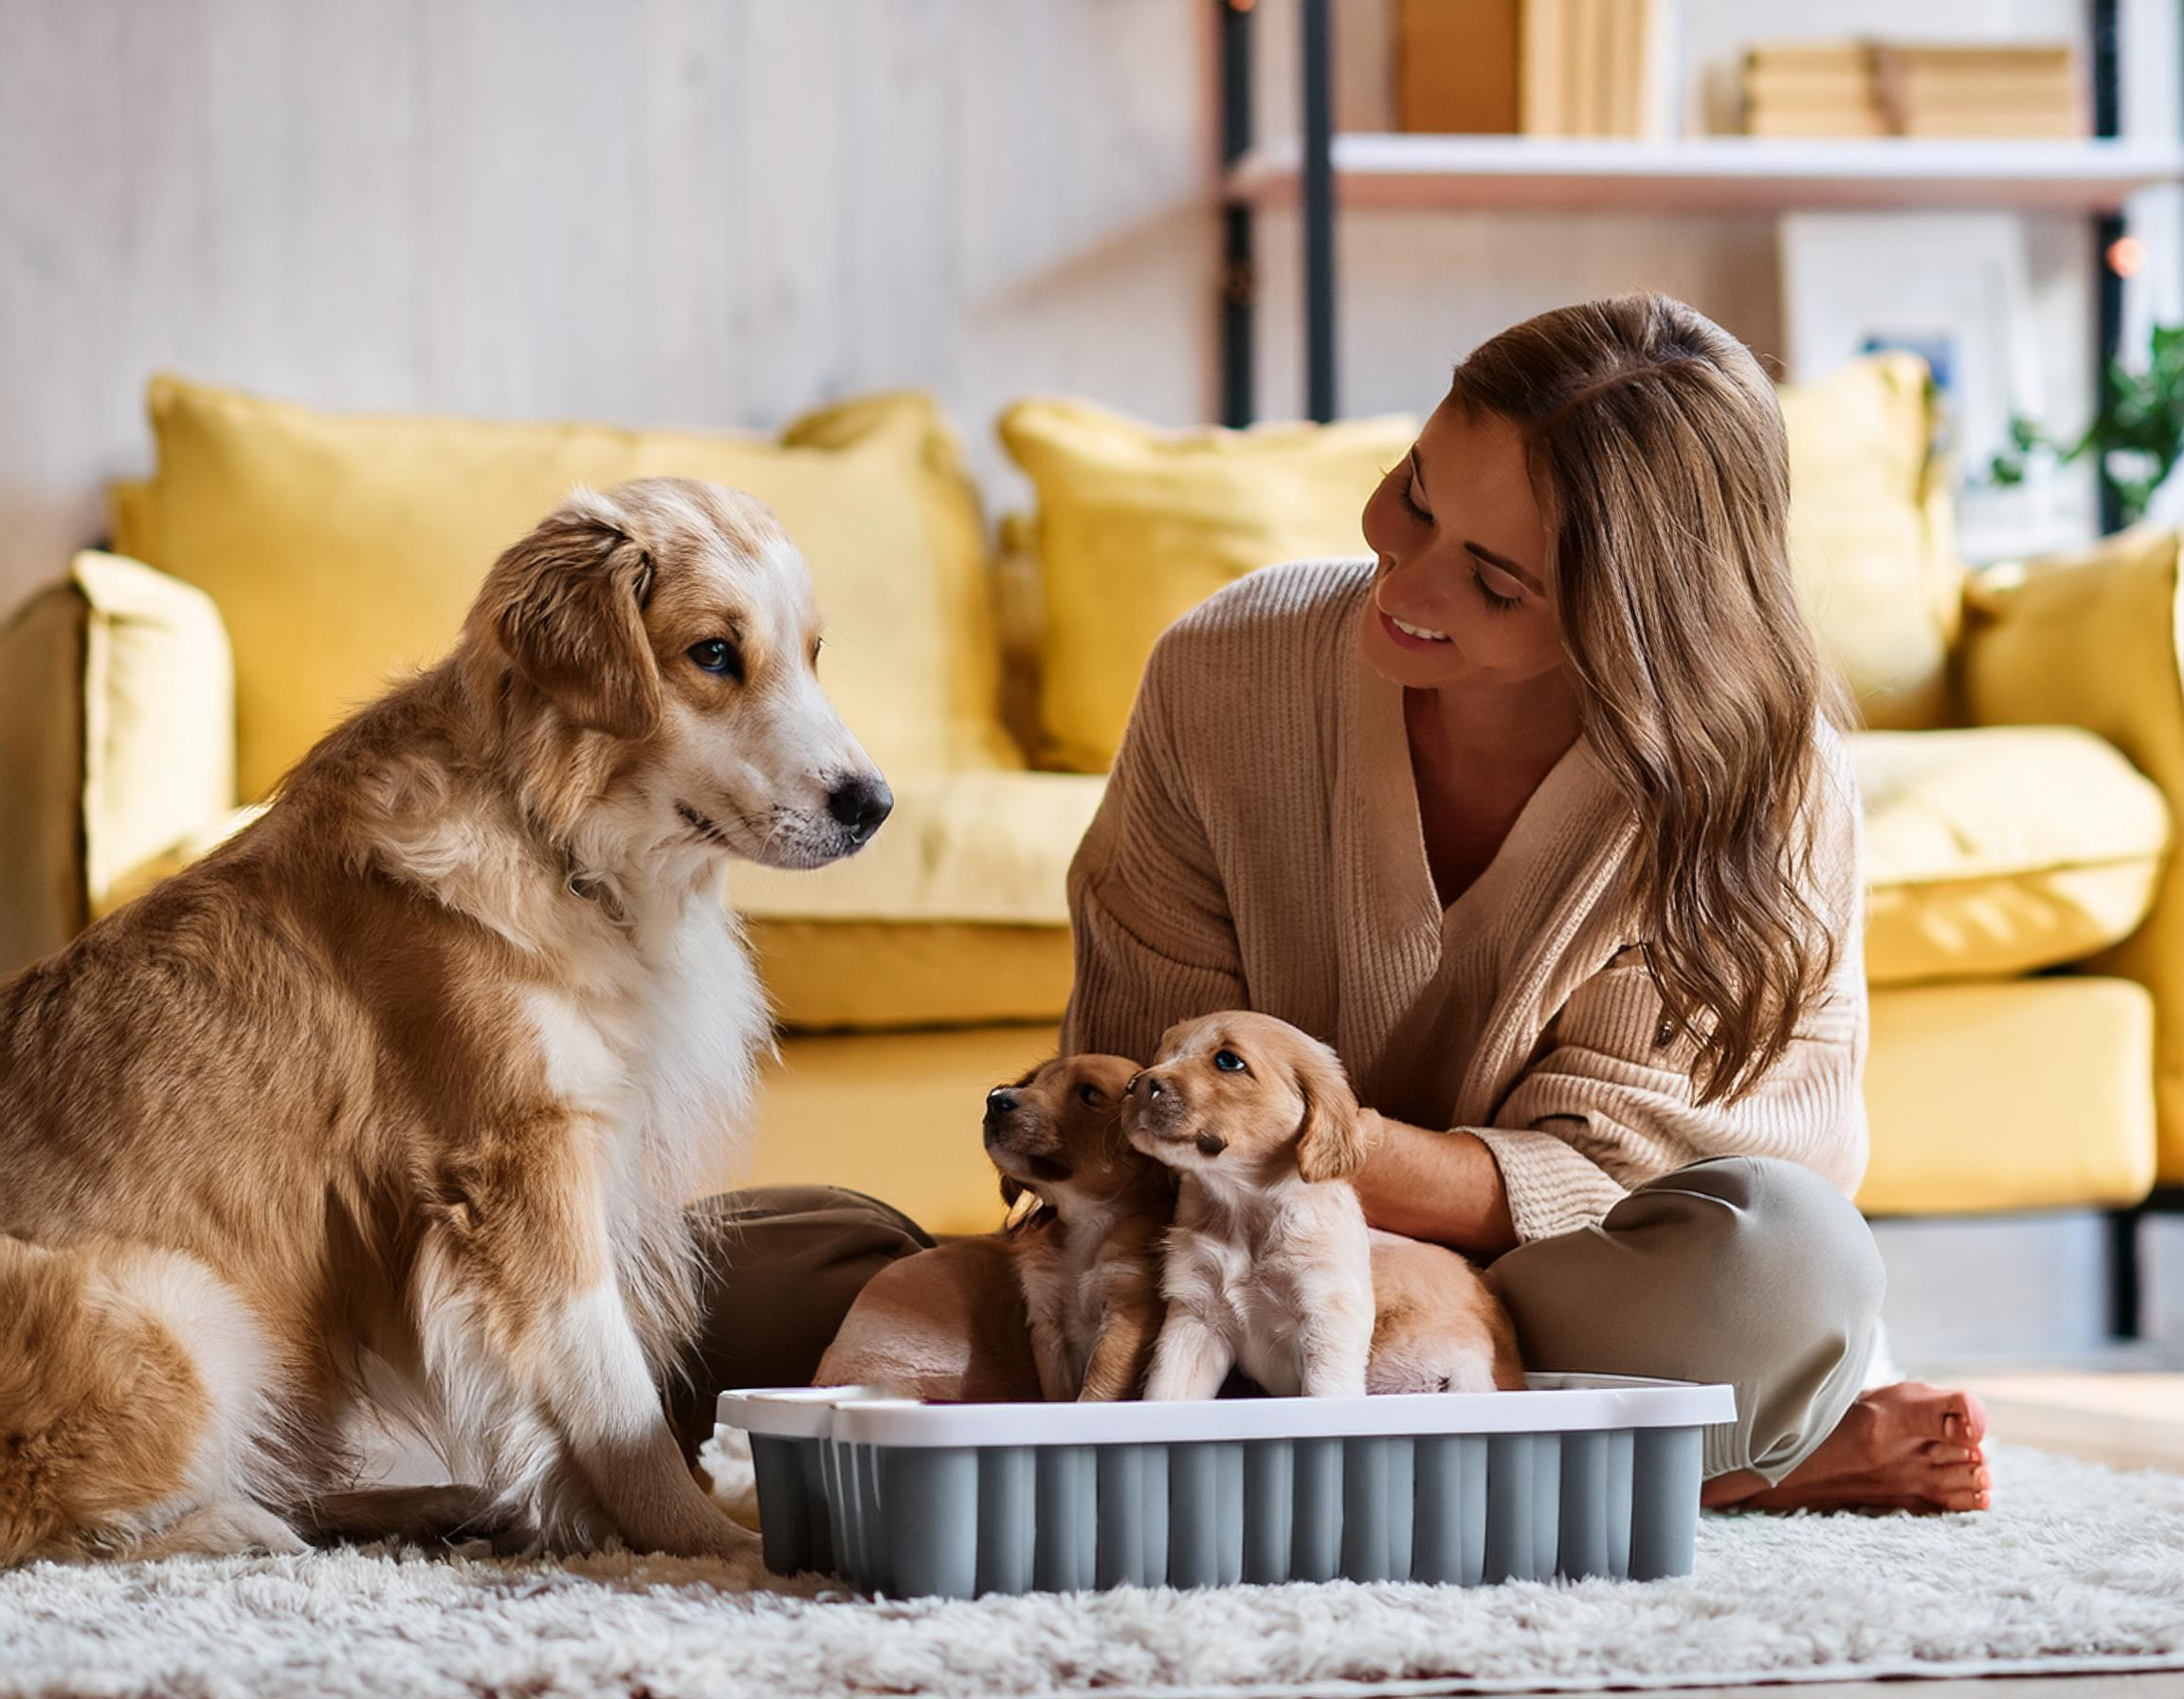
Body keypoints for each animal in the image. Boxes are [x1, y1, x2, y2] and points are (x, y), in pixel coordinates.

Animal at [2, 476, 886, 1563]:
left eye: (811, 653)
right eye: (715, 653)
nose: (874, 805)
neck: (557, 839)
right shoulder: (519, 1162)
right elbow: (615, 1391)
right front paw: (715, 1544)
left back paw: (425, 1505)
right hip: (186, 1308)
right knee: (57, 1524)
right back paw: (237, 1526)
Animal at [982, 1052, 1170, 1398]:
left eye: (1090, 1094)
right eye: (1033, 1082)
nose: (995, 1098)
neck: (1086, 1219)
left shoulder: (1126, 1316)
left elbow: (1095, 1392)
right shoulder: (1048, 1323)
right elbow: (1061, 1398)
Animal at [1126, 1013, 1520, 1398]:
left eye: (1228, 1060)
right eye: (1160, 1054)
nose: (1135, 1085)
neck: (1243, 1211)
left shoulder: (1327, 1317)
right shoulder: (1196, 1316)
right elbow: (1167, 1395)